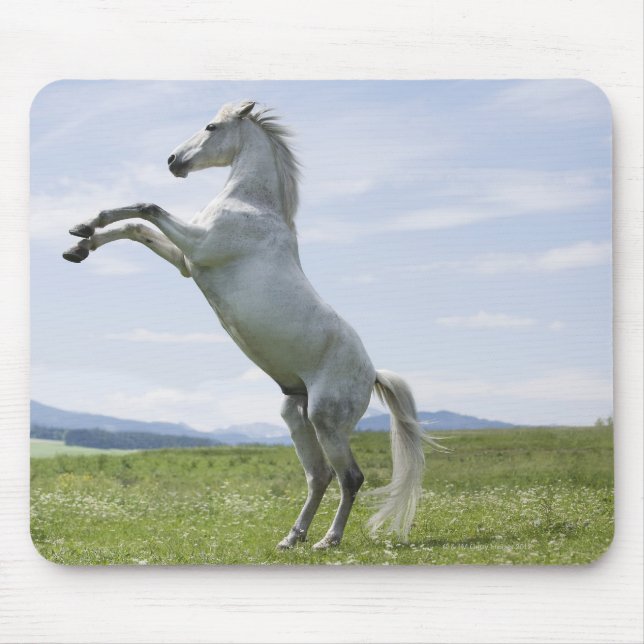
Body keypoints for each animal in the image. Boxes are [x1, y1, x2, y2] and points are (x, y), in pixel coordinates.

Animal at [62, 100, 446, 550]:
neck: (251, 205)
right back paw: (291, 538)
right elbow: (135, 227)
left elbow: (146, 209)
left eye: (211, 126)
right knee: (319, 476)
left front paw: (84, 230)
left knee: (350, 477)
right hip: (297, 416)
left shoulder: (198, 245)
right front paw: (79, 241)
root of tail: (372, 374)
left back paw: (327, 540)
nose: (173, 161)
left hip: (327, 421)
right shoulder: (185, 261)